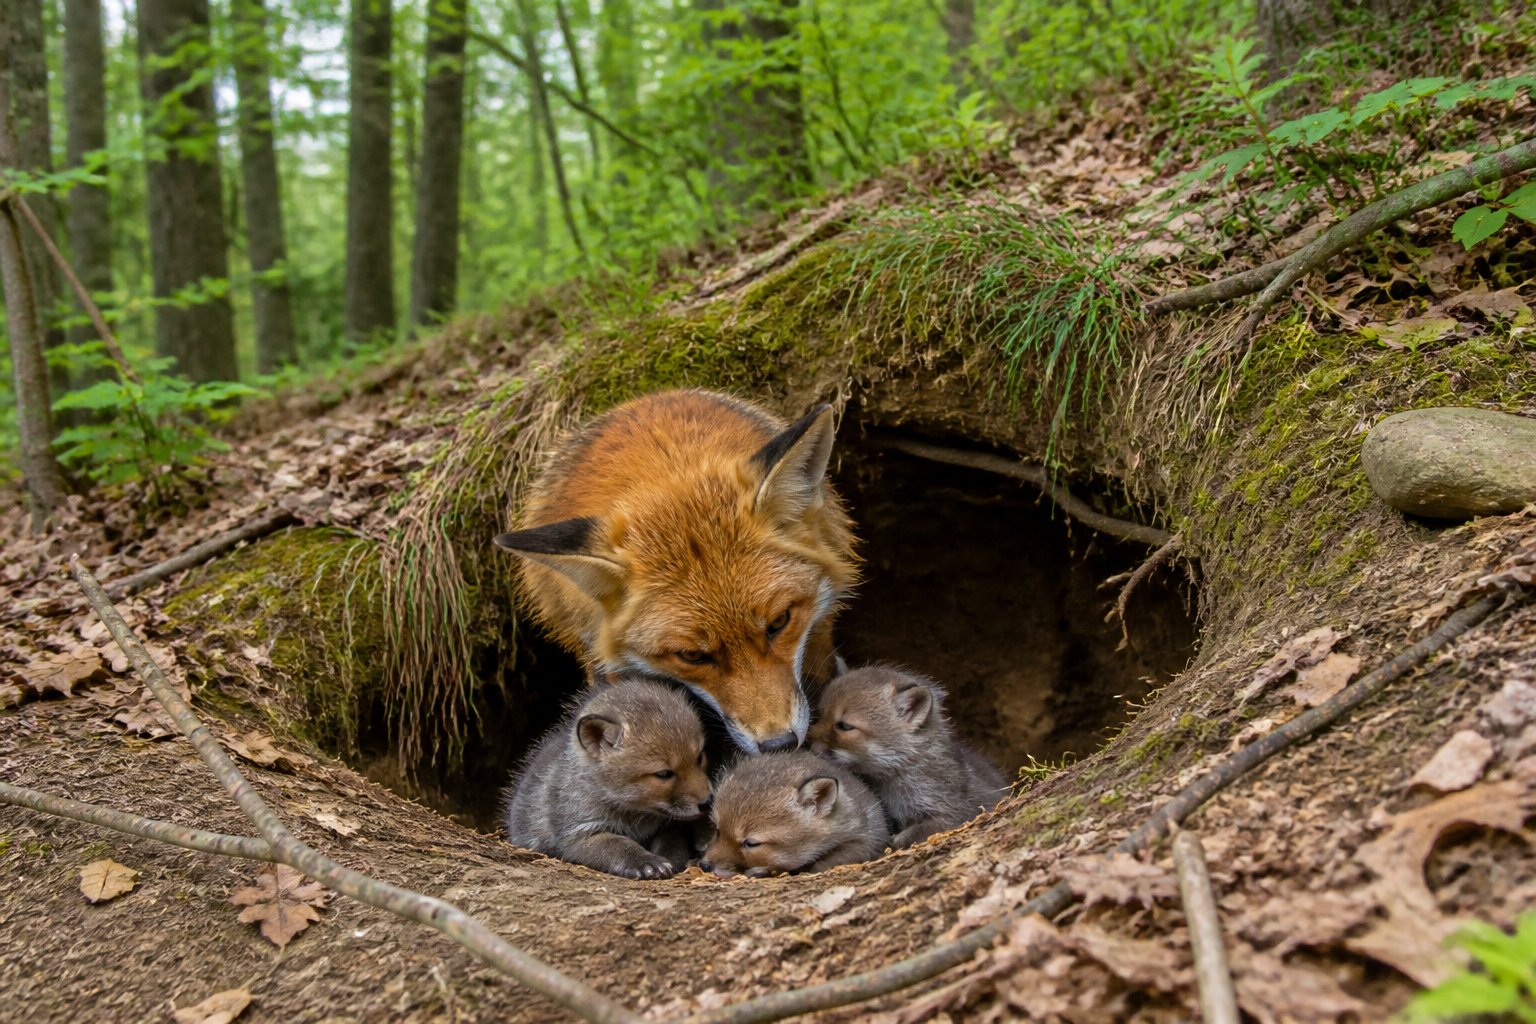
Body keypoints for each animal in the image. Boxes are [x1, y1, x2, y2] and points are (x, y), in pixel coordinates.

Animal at [503, 677, 712, 879]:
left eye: (699, 758)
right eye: (664, 774)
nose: (707, 802)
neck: (633, 815)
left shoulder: (667, 827)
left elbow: (672, 845)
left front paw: (671, 859)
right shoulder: (578, 833)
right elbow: (617, 844)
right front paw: (645, 862)